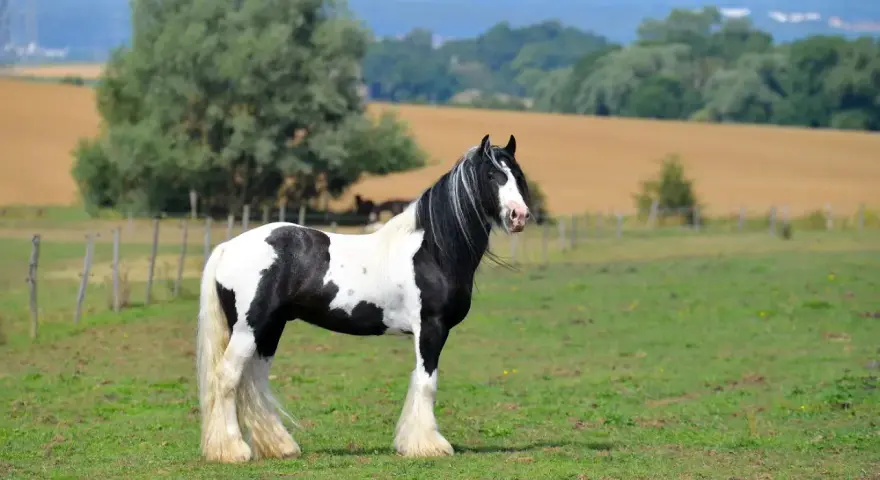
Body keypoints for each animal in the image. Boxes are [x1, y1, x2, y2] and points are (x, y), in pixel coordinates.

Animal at [196, 133, 531, 463]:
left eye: (516, 174)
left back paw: (279, 447)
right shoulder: (431, 328)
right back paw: (231, 450)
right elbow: (427, 383)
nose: (520, 216)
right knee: (227, 378)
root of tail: (227, 247)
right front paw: (428, 446)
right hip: (248, 329)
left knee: (253, 381)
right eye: (492, 175)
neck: (432, 250)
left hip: (270, 328)